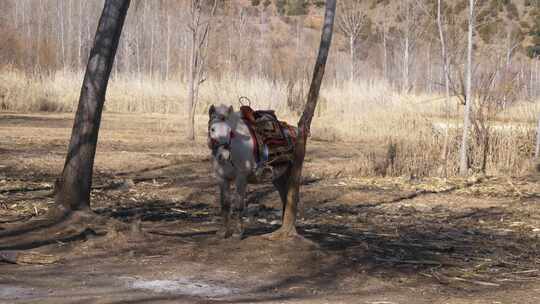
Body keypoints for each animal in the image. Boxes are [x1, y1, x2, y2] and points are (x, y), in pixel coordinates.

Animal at [207, 104, 294, 240]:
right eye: (212, 129)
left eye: (230, 131)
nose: (223, 155)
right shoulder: (221, 178)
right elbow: (225, 204)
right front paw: (223, 232)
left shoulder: (241, 178)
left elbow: (239, 204)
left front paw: (238, 233)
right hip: (278, 177)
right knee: (284, 196)